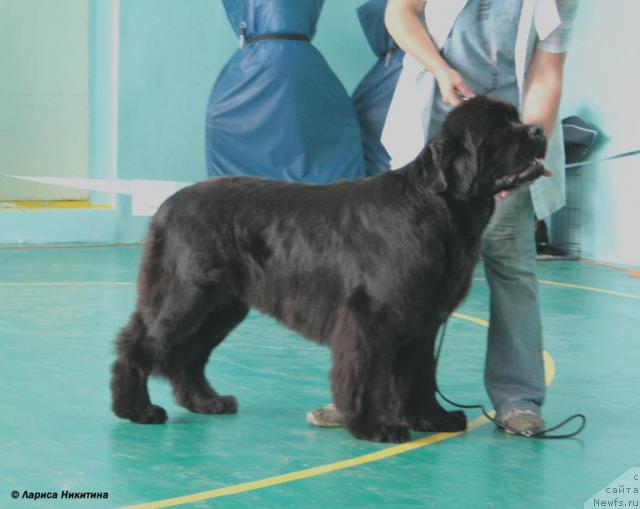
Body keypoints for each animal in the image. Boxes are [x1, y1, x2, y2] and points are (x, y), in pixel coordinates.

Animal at [110, 95, 544, 440]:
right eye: (498, 129)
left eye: (516, 118)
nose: (539, 130)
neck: (439, 208)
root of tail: (167, 205)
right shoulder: (371, 316)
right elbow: (364, 374)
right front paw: (373, 427)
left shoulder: (422, 321)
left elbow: (420, 375)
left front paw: (433, 418)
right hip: (185, 294)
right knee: (139, 342)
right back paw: (136, 410)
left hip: (222, 306)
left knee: (189, 354)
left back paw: (207, 402)